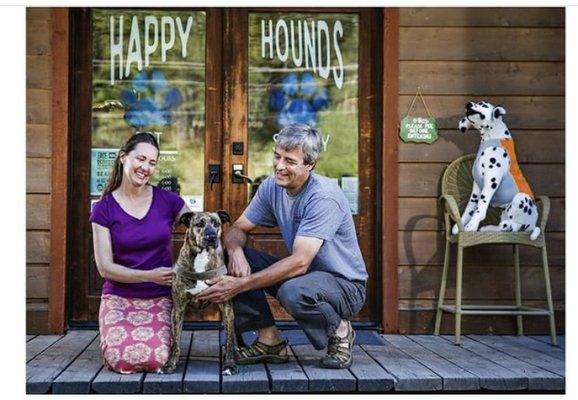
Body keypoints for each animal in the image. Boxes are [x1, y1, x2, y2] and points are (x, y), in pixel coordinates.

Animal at [160, 211, 236, 376]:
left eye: (216, 224)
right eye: (199, 224)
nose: (212, 237)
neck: (201, 258)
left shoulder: (226, 305)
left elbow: (229, 340)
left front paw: (229, 364)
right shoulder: (178, 308)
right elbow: (175, 341)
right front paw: (170, 364)